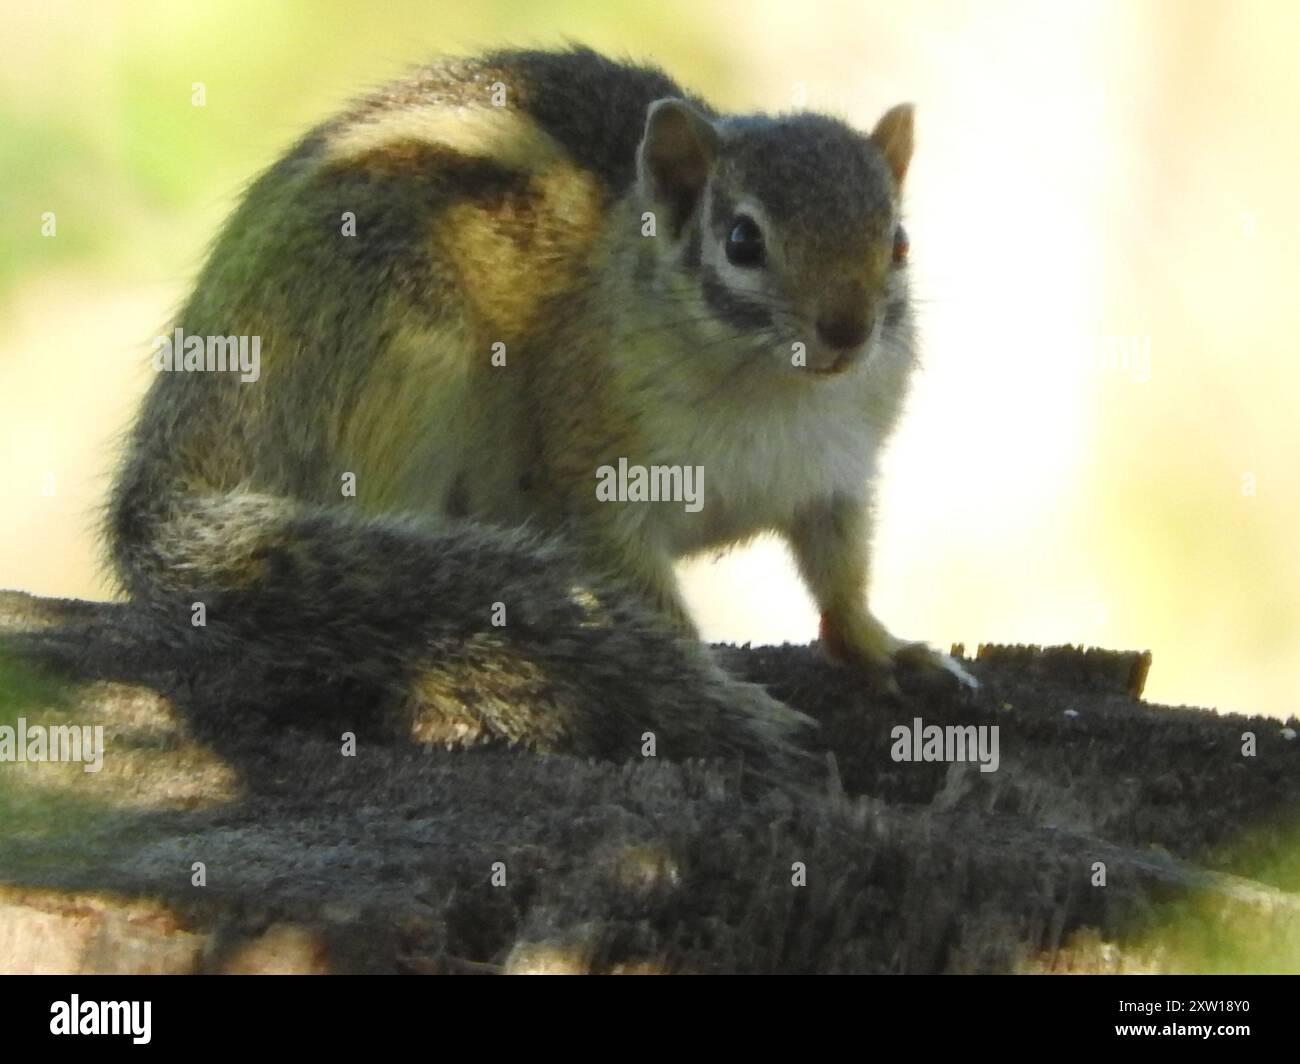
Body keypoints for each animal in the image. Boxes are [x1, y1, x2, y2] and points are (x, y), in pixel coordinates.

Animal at [104, 45, 977, 775]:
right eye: (742, 242)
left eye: (898, 242)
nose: (848, 330)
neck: (771, 389)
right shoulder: (598, 483)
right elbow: (645, 602)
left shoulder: (836, 478)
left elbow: (841, 578)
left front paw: (887, 648)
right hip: (391, 347)